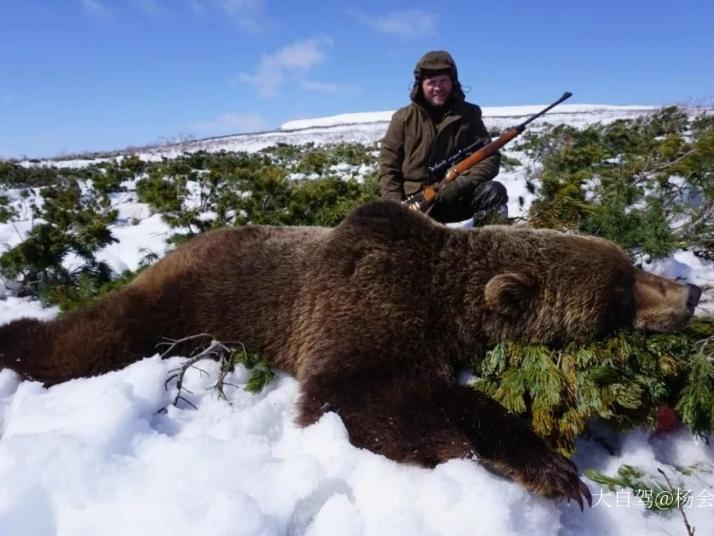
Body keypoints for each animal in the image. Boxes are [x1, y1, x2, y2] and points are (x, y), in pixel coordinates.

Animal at [0, 200, 700, 506]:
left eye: (631, 266)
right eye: (619, 289)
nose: (691, 291)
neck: (443, 294)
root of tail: (183, 246)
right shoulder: (364, 305)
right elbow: (358, 397)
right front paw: (550, 469)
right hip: (192, 299)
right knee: (94, 335)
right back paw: (16, 337)